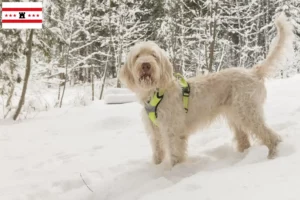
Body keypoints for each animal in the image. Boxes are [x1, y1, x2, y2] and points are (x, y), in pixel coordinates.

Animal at [118, 14, 294, 167]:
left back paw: (272, 155)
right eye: (137, 56)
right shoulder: (155, 132)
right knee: (245, 139)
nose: (145, 65)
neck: (156, 92)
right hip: (236, 115)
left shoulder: (173, 130)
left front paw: (175, 173)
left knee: (271, 136)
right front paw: (156, 168)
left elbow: (175, 154)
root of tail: (253, 72)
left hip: (248, 112)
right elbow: (158, 152)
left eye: (154, 55)